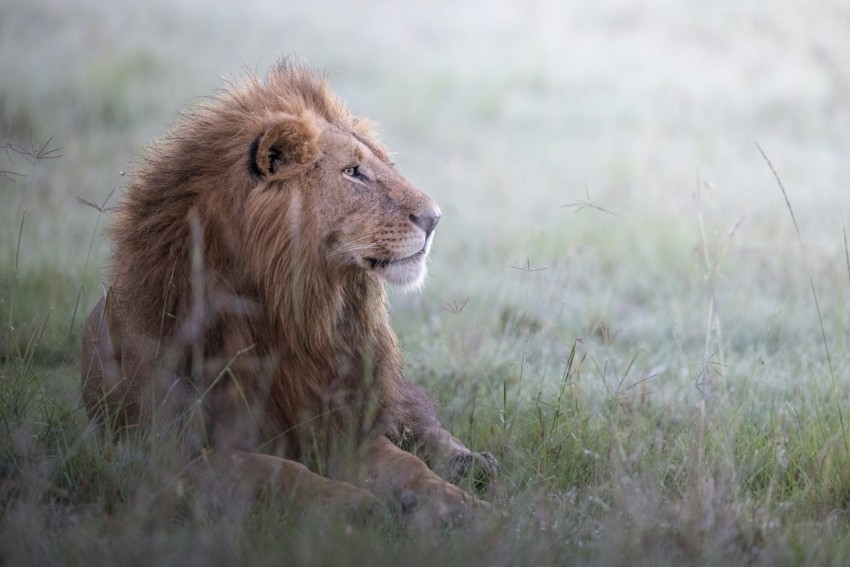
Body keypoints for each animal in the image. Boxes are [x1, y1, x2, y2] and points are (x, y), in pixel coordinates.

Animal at [80, 60, 496, 521]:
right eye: (353, 172)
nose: (435, 218)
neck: (296, 314)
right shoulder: (174, 455)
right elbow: (279, 471)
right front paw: (355, 504)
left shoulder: (341, 425)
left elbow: (410, 466)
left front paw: (467, 508)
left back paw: (473, 463)